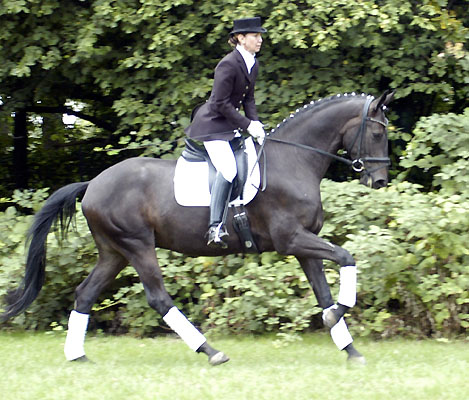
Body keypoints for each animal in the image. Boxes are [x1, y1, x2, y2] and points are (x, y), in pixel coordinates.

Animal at [1, 90, 394, 366]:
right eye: (377, 133)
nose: (379, 181)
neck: (295, 160)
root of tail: (93, 183)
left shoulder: (302, 245)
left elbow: (324, 291)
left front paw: (350, 348)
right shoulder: (292, 240)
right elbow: (346, 257)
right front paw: (338, 316)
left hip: (114, 252)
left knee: (85, 294)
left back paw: (77, 355)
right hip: (137, 246)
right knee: (158, 297)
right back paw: (211, 351)